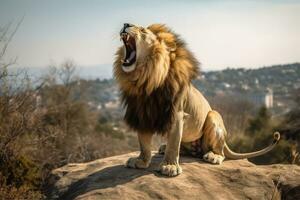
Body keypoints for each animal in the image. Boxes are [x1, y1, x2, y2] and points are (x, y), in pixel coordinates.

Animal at [113, 23, 280, 177]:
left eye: (142, 30)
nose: (126, 24)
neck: (145, 79)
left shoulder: (177, 114)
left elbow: (173, 144)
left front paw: (170, 167)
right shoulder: (141, 113)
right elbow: (144, 143)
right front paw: (140, 161)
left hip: (213, 116)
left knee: (220, 152)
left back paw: (213, 156)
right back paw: (164, 148)